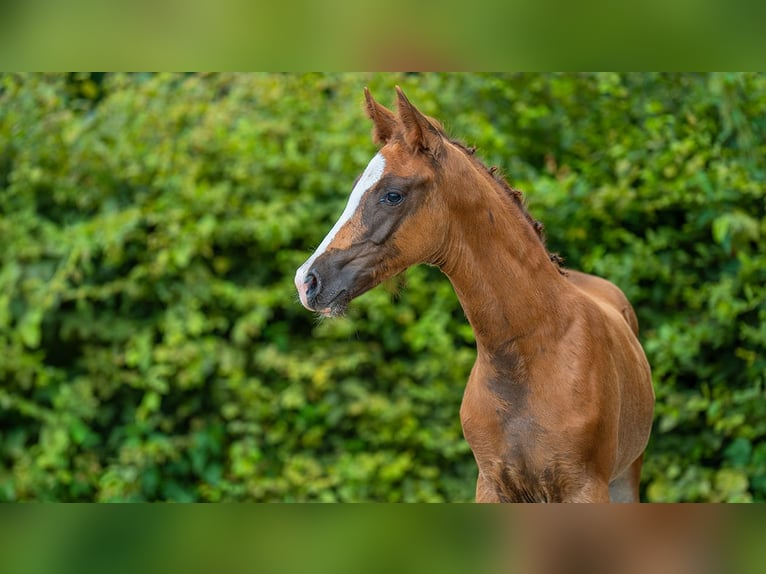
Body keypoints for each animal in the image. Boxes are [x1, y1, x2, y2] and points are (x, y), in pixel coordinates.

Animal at [294, 86, 656, 504]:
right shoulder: (492, 485)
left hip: (626, 475)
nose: (307, 281)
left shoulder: (585, 488)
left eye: (393, 195)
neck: (527, 355)